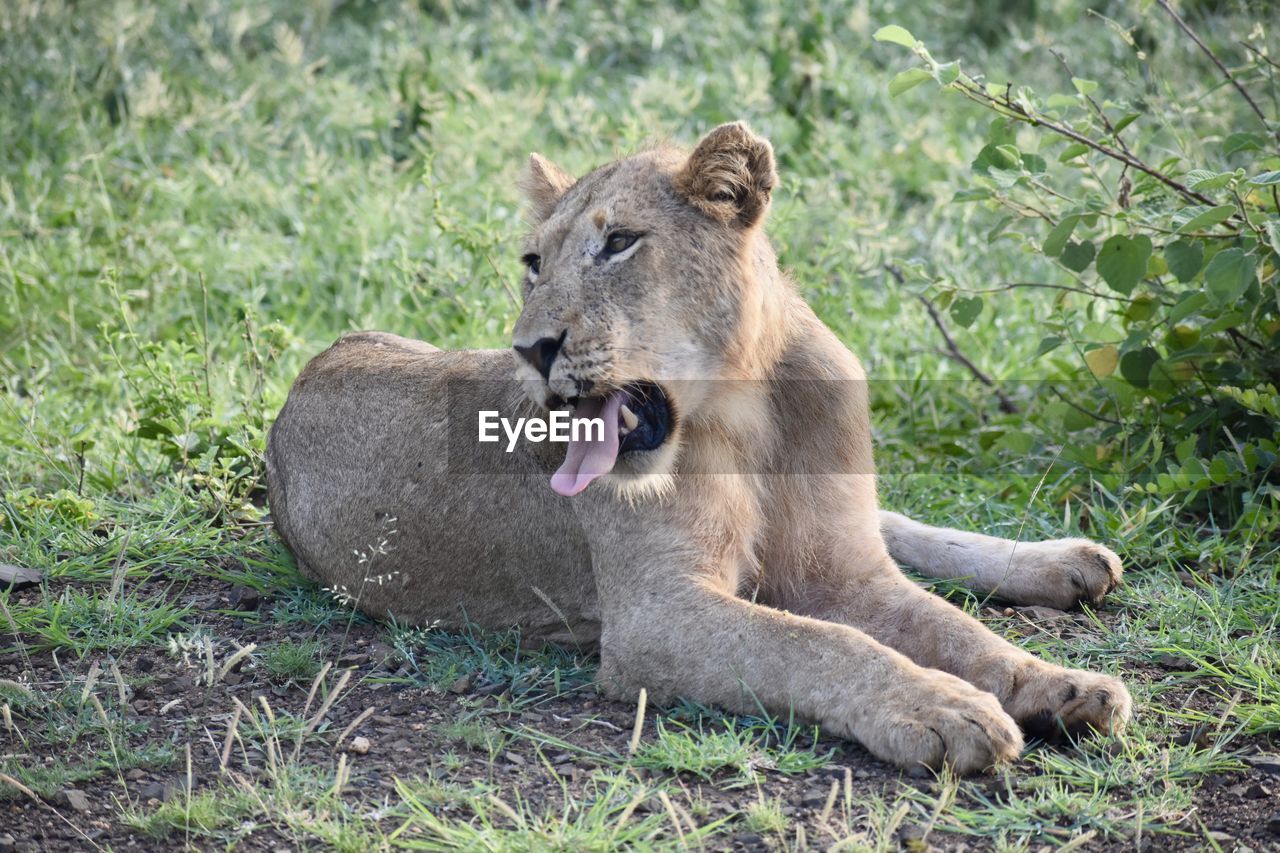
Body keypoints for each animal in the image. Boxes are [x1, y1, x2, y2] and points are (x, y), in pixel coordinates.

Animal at [267, 121, 1131, 768]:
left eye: (619, 242)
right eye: (533, 262)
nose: (532, 349)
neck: (749, 406)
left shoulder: (842, 570)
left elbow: (955, 629)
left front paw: (1061, 684)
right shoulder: (654, 615)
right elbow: (820, 643)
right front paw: (946, 708)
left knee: (898, 526)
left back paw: (1069, 562)